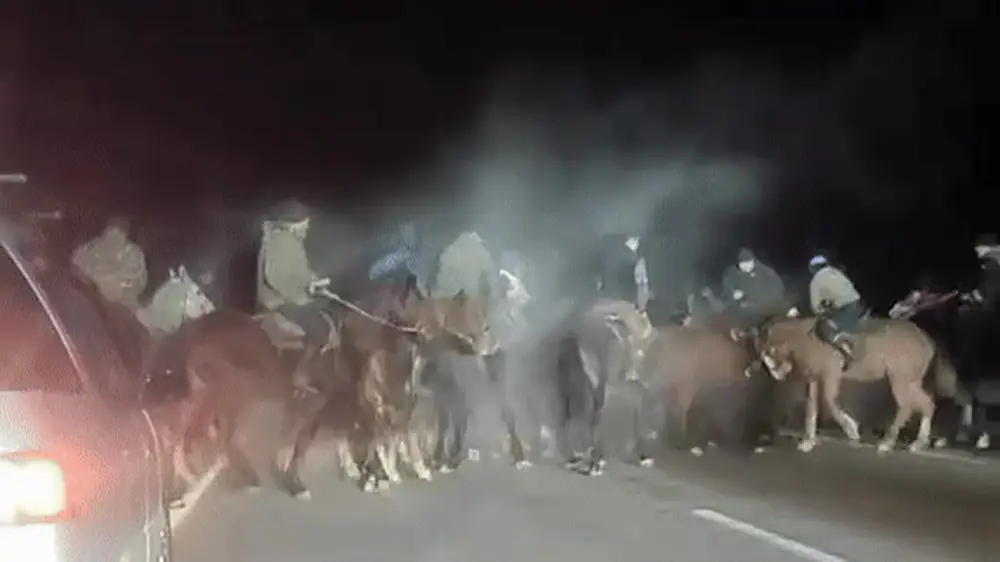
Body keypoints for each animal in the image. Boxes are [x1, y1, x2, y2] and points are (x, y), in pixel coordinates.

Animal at [755, 316, 973, 454]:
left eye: (769, 352)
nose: (778, 375)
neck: (810, 340)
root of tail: (928, 340)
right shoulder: (814, 379)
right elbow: (811, 408)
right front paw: (808, 442)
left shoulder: (831, 375)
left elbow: (830, 402)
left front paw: (852, 430)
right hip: (911, 380)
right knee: (927, 404)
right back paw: (919, 443)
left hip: (899, 379)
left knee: (906, 406)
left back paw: (887, 443)